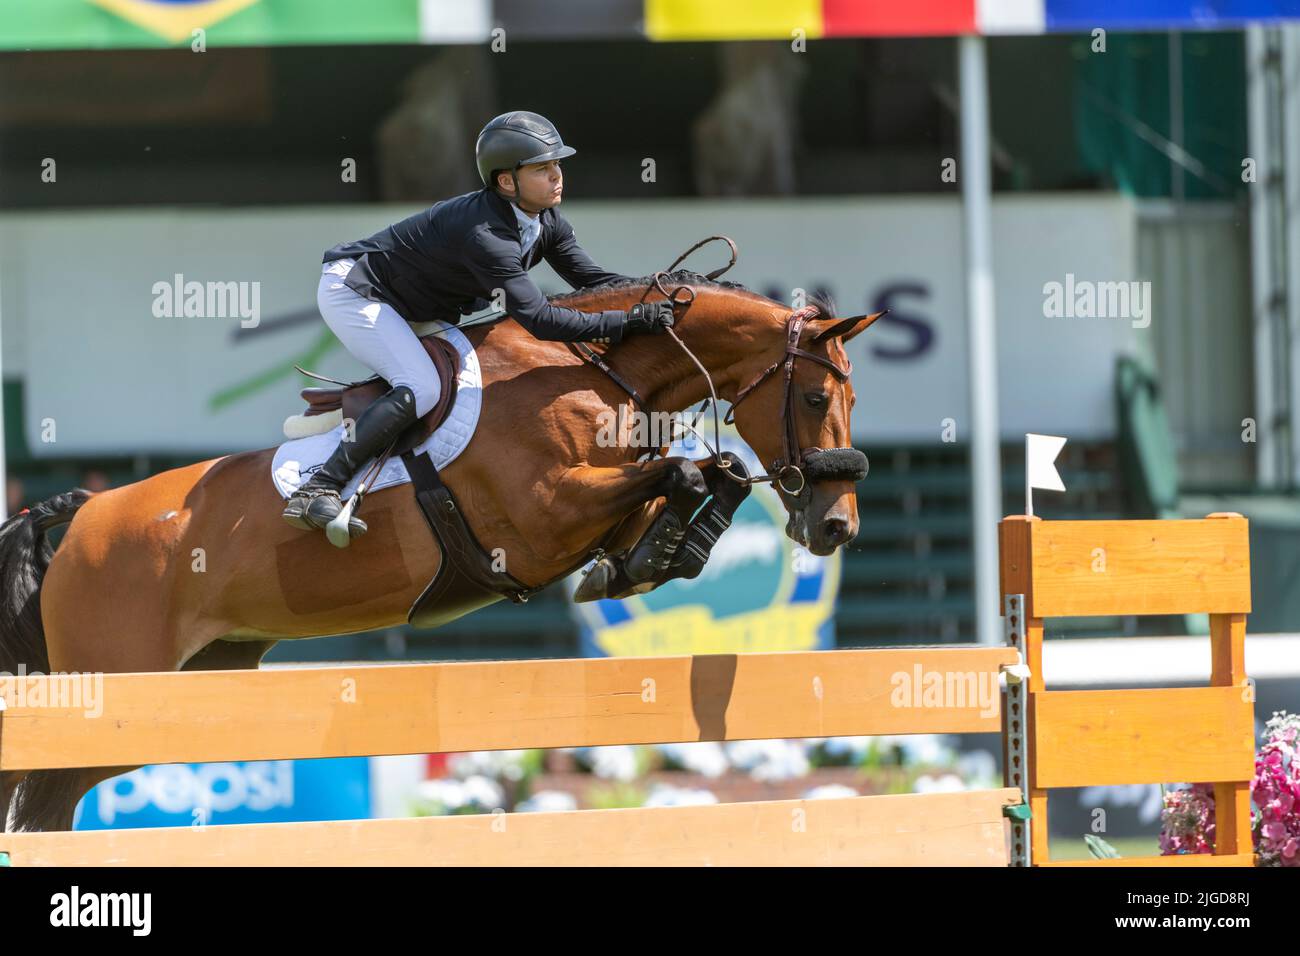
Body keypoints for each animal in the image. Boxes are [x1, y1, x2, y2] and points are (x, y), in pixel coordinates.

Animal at [0, 269, 878, 832]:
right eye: (814, 397)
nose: (836, 528)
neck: (594, 373)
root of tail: (85, 513)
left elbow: (696, 480)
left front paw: (654, 559)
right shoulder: (542, 517)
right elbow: (688, 467)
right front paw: (653, 552)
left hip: (182, 690)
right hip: (108, 686)